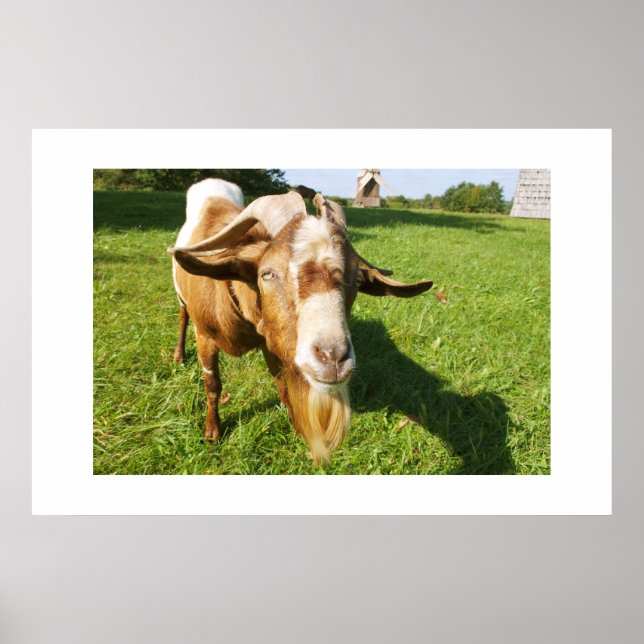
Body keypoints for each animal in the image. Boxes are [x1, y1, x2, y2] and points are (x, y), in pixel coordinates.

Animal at [168, 179, 433, 464]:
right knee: (182, 315)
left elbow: (282, 386)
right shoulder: (205, 336)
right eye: (267, 274)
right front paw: (212, 431)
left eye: (357, 280)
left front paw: (295, 427)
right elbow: (212, 384)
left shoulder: (271, 342)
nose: (332, 357)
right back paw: (179, 355)